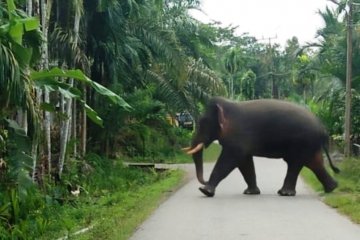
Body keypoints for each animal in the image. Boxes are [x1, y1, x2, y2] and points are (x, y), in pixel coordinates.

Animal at [184, 97, 338, 197]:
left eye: (202, 123)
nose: (204, 180)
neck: (228, 105)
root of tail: (323, 129)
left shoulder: (239, 137)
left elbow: (230, 160)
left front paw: (205, 191)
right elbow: (245, 163)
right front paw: (251, 193)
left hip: (303, 143)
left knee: (296, 164)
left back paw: (285, 193)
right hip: (309, 145)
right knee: (315, 163)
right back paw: (331, 189)